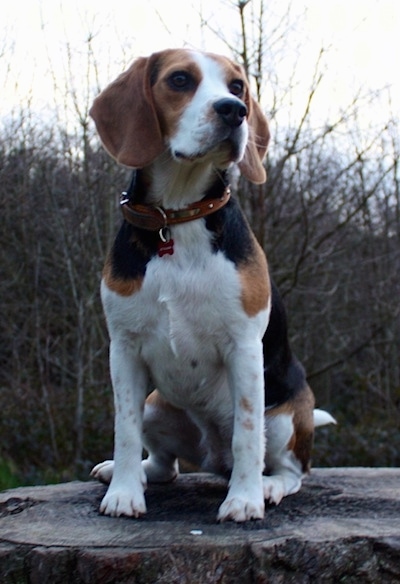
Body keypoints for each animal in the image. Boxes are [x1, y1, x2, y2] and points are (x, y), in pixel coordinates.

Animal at [89, 48, 336, 524]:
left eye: (237, 86)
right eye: (180, 80)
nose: (234, 110)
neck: (177, 216)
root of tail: (212, 459)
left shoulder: (244, 348)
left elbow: (247, 433)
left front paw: (244, 500)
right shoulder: (124, 348)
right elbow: (124, 427)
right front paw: (124, 494)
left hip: (285, 416)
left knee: (291, 469)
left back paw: (267, 485)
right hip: (157, 403)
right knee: (166, 467)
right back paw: (134, 473)